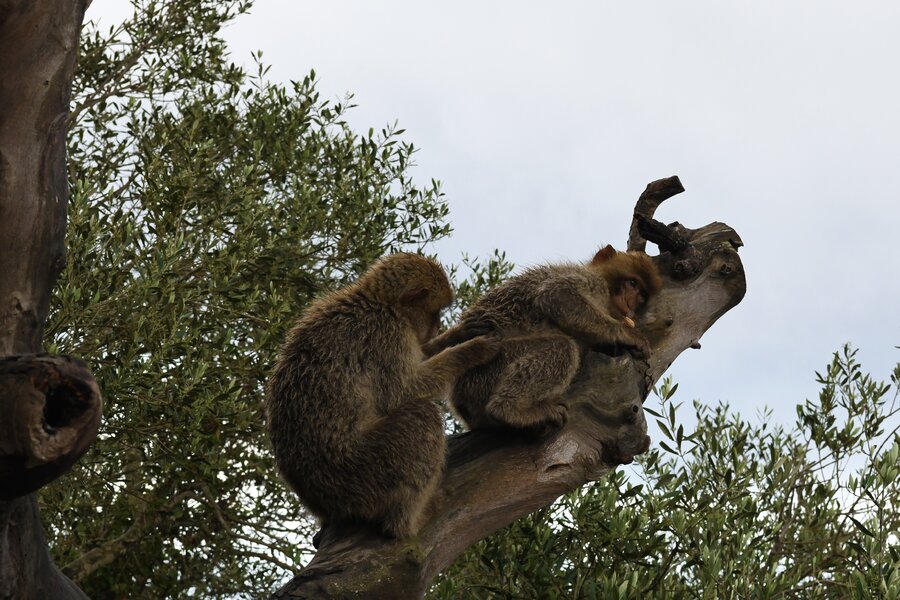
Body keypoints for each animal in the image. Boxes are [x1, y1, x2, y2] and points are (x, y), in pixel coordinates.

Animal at [264, 251, 500, 536]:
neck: (382, 303)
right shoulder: (388, 334)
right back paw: (406, 522)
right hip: (364, 472)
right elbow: (403, 392)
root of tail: (323, 503)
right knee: (422, 416)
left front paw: (459, 334)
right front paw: (470, 351)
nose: (438, 325)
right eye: (436, 311)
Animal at [422, 246, 660, 434]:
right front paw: (627, 334)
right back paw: (509, 410)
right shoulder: (592, 283)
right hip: (484, 372)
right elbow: (557, 295)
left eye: (642, 296)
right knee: (561, 347)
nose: (631, 304)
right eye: (632, 283)